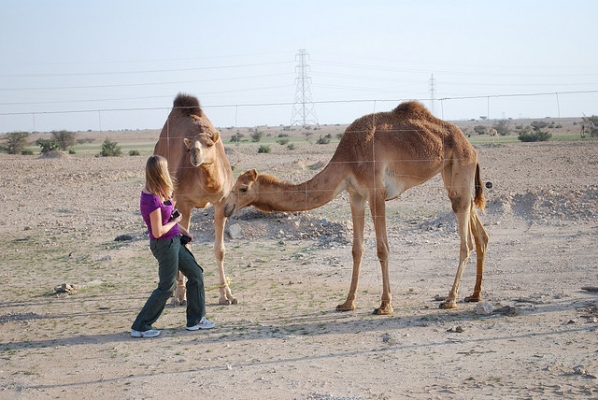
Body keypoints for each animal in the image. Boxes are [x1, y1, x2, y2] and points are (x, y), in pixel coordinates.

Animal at [155, 94, 239, 306]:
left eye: (209, 144)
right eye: (190, 147)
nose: (195, 154)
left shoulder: (221, 202)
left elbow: (220, 250)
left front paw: (227, 295)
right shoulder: (185, 203)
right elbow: (182, 246)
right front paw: (180, 295)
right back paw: (175, 293)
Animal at [223, 101, 490, 314]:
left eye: (243, 188)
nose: (226, 207)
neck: (348, 158)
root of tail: (472, 147)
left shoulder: (376, 192)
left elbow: (382, 249)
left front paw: (385, 305)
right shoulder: (355, 195)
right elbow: (357, 249)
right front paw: (347, 302)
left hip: (460, 167)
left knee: (466, 242)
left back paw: (450, 299)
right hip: (453, 176)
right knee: (478, 231)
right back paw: (474, 295)